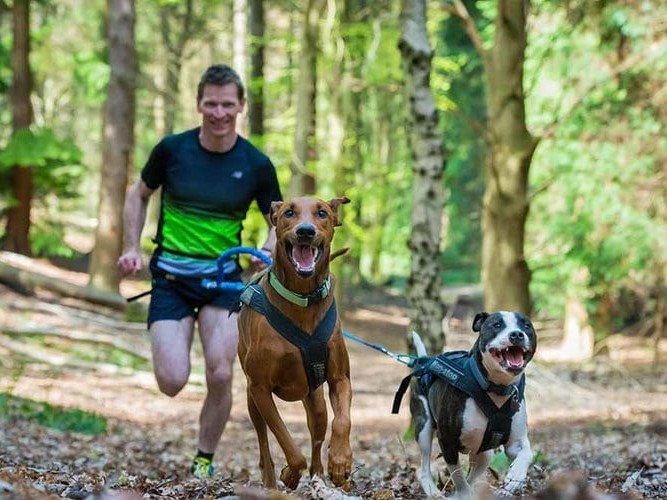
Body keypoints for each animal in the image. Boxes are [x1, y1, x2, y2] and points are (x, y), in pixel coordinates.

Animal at [239, 195, 354, 488]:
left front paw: (340, 461)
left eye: (322, 213)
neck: (303, 300)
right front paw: (290, 474)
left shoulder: (340, 378)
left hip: (315, 401)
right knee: (264, 443)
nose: (305, 231)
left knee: (317, 434)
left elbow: (343, 421)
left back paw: (320, 475)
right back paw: (271, 481)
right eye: (288, 213)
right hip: (251, 401)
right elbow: (286, 441)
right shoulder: (260, 388)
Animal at [408, 312, 536, 496]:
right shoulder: (447, 442)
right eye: (497, 325)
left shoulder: (515, 443)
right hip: (423, 428)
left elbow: (527, 453)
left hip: (484, 454)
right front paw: (463, 494)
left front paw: (515, 476)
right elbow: (459, 478)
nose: (517, 334)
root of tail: (425, 361)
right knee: (424, 468)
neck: (496, 388)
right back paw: (434, 492)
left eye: (526, 326)